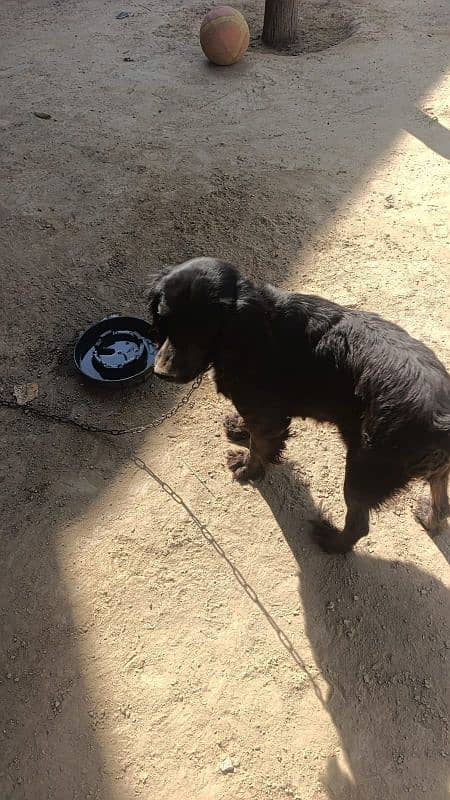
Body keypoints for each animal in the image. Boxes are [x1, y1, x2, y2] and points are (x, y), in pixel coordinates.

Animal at [147, 260, 450, 552]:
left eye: (202, 330)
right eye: (163, 321)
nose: (161, 373)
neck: (255, 327)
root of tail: (441, 419)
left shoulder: (267, 416)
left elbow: (259, 448)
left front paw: (246, 468)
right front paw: (239, 428)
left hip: (363, 471)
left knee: (359, 526)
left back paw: (332, 542)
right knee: (442, 505)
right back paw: (428, 518)